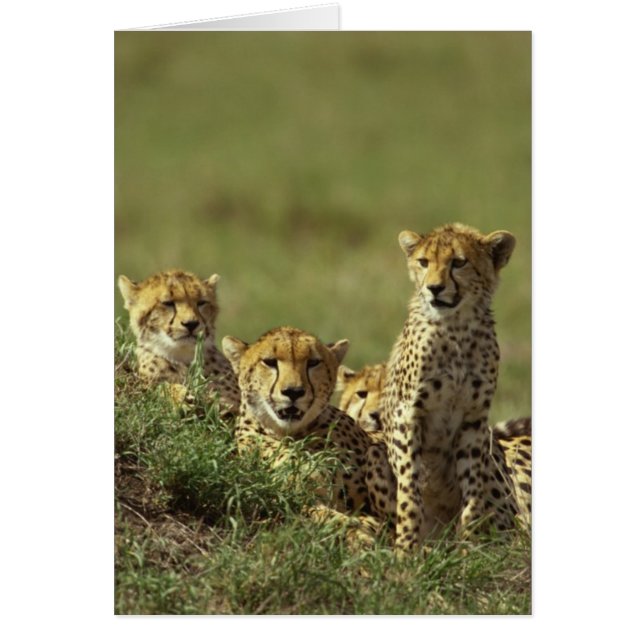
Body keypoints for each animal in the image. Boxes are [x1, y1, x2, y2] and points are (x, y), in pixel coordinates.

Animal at [118, 269, 240, 414]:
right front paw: (180, 398)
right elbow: (162, 387)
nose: (191, 324)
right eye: (167, 303)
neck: (182, 357)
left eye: (201, 302)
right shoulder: (146, 383)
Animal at [380, 222, 526, 550]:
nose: (434, 288)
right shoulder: (408, 415)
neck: (456, 327)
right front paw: (406, 549)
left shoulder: (474, 420)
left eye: (458, 262)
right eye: (424, 262)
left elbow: (473, 490)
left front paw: (469, 547)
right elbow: (410, 491)